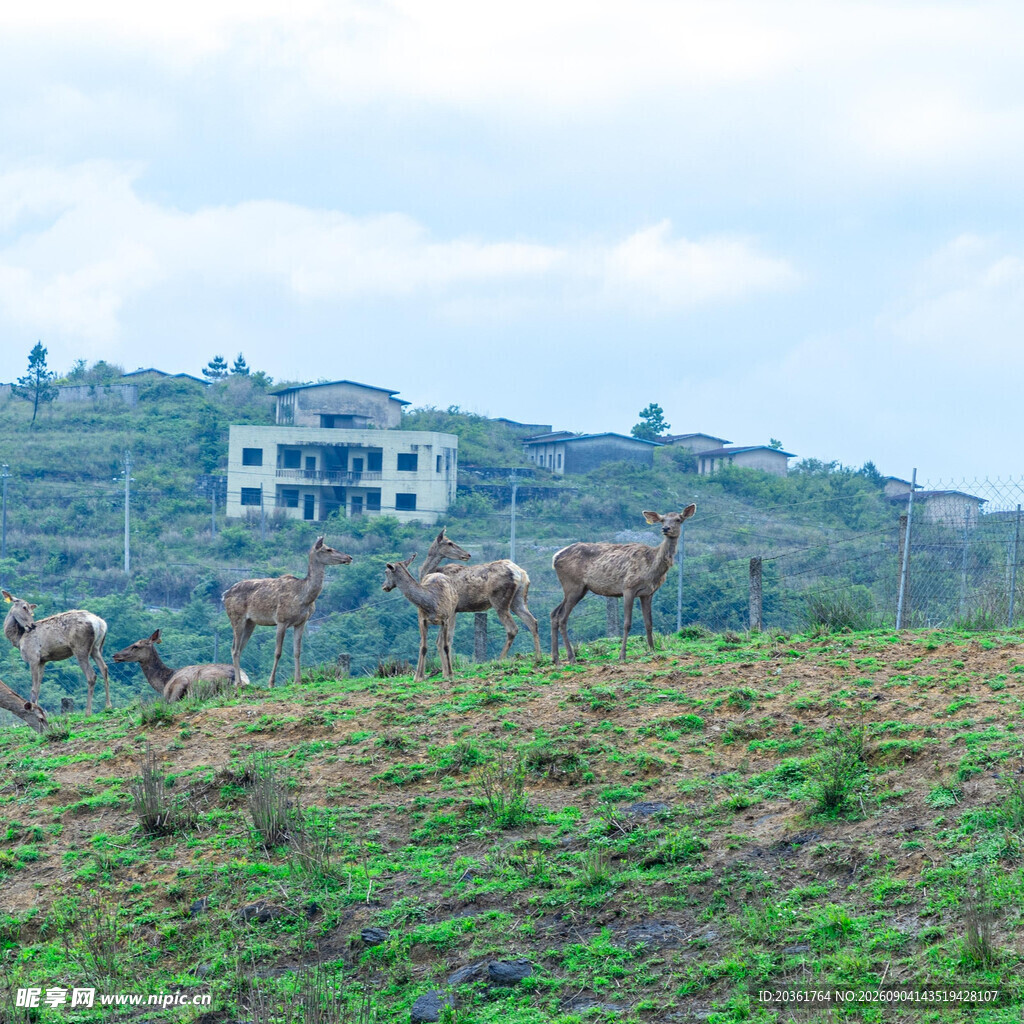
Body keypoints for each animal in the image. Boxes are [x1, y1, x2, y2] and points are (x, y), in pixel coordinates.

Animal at [113, 630, 251, 702]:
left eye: (135, 646)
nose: (115, 655)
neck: (163, 682)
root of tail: (237, 680)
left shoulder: (178, 684)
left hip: (205, 682)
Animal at [222, 536, 353, 689]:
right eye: (328, 549)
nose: (349, 557)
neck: (304, 597)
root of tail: (224, 595)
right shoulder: (281, 620)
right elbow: (278, 652)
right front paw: (271, 683)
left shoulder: (302, 622)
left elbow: (297, 651)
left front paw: (298, 680)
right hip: (236, 617)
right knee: (234, 649)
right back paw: (238, 683)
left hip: (250, 622)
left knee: (239, 648)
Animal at [382, 554, 458, 682]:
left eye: (386, 571)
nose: (383, 586)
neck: (431, 603)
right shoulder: (422, 620)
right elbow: (423, 647)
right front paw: (418, 677)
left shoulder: (445, 619)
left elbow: (446, 646)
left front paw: (451, 674)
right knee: (429, 643)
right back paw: (438, 673)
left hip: (451, 614)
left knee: (441, 642)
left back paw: (446, 673)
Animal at [420, 527, 542, 659]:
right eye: (449, 543)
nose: (468, 554)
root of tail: (520, 573)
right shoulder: (454, 611)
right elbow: (442, 640)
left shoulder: (451, 610)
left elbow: (445, 640)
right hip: (518, 599)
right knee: (532, 622)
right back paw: (538, 656)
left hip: (499, 599)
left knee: (512, 628)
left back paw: (500, 659)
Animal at [550, 505, 697, 664]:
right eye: (662, 520)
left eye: (678, 519)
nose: (666, 528)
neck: (652, 568)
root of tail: (555, 558)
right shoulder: (628, 587)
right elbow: (627, 624)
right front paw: (622, 655)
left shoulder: (648, 593)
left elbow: (649, 623)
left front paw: (652, 650)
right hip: (573, 585)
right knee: (562, 617)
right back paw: (571, 658)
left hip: (579, 588)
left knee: (554, 613)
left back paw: (556, 659)